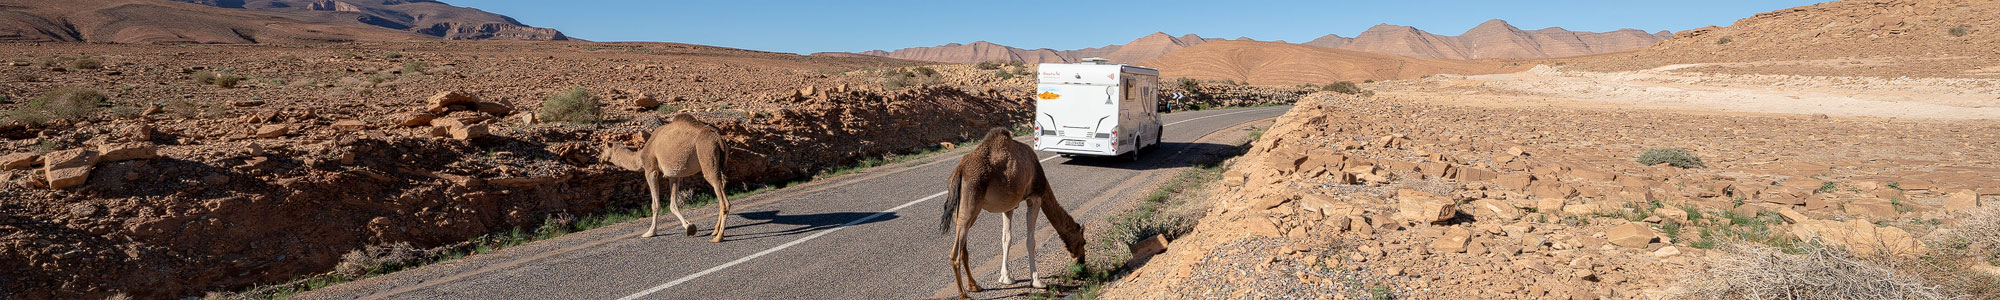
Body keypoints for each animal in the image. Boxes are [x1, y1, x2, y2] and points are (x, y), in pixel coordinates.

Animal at [604, 113, 740, 243]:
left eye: (605, 148)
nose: (601, 157)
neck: (640, 157)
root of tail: (719, 139)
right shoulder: (673, 175)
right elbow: (673, 204)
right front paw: (690, 227)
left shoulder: (651, 171)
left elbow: (655, 204)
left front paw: (650, 232)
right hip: (720, 163)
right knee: (722, 183)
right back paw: (715, 231)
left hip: (707, 154)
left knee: (723, 199)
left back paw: (718, 237)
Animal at [940, 127, 1088, 298]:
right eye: (1083, 242)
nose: (1082, 262)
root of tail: (959, 171)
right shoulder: (1035, 197)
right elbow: (1030, 240)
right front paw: (1037, 281)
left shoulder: (1009, 206)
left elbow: (1006, 239)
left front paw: (1006, 278)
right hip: (971, 202)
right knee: (955, 253)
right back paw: (964, 294)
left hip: (965, 209)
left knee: (963, 244)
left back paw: (974, 285)